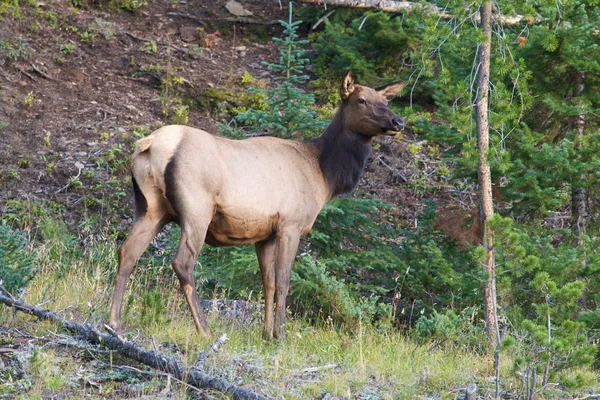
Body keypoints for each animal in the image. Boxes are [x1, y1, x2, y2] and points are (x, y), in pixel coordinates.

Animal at [109, 71, 408, 338]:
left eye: (385, 100)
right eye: (361, 100)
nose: (398, 121)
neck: (324, 176)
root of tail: (149, 144)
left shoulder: (265, 234)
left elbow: (268, 283)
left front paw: (266, 333)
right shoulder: (291, 224)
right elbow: (285, 281)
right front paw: (282, 336)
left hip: (150, 206)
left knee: (127, 251)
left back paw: (114, 321)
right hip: (196, 208)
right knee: (182, 263)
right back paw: (204, 330)